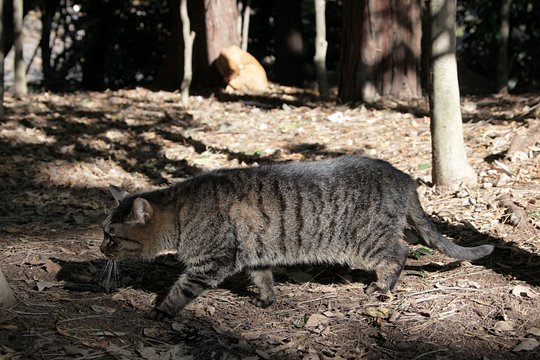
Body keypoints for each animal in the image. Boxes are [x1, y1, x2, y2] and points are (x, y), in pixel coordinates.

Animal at [100, 156, 494, 320]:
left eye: (112, 237)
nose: (101, 248)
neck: (182, 211)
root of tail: (404, 176)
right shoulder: (253, 252)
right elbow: (263, 277)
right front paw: (266, 299)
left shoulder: (213, 261)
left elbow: (181, 289)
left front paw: (161, 311)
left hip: (367, 240)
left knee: (400, 251)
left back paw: (382, 287)